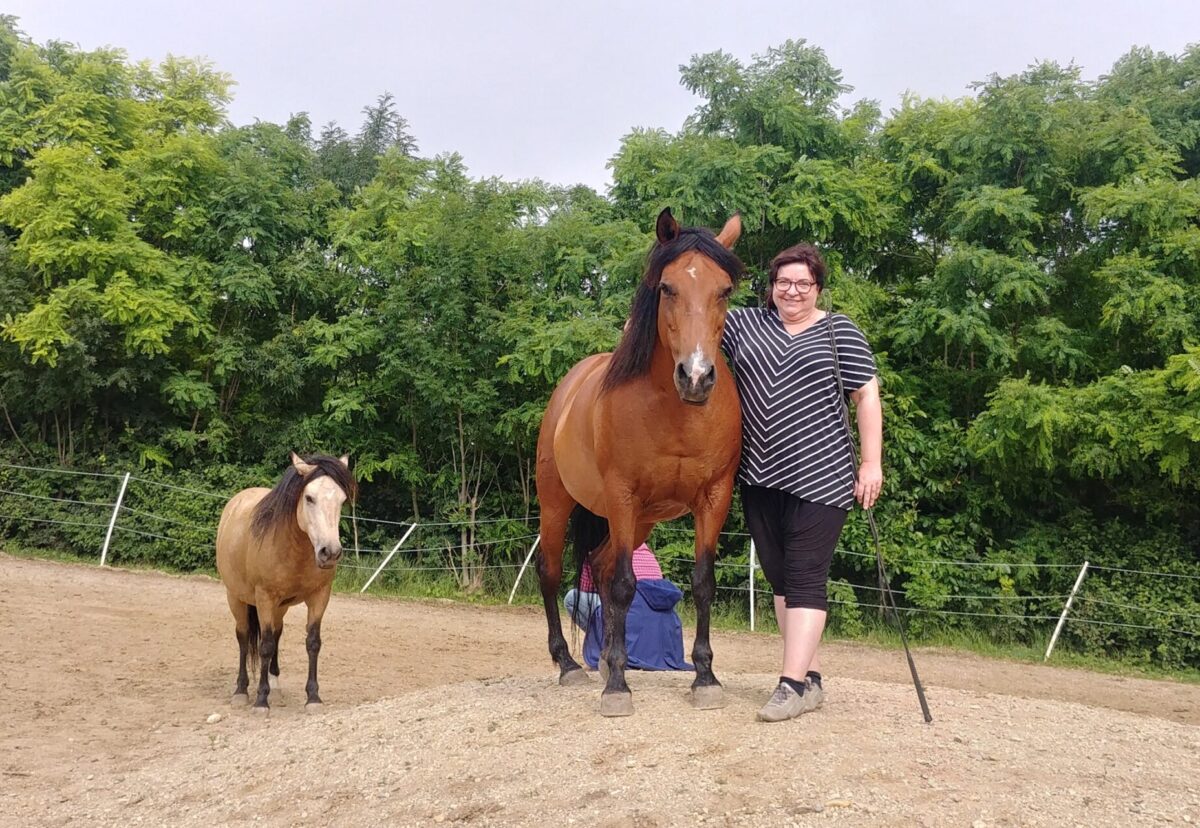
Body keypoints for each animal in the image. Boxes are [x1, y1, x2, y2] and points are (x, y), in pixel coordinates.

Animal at [216, 451, 355, 710]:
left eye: (341, 501)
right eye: (309, 498)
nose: (330, 552)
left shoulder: (320, 596)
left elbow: (312, 642)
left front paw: (313, 697)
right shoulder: (264, 598)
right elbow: (265, 645)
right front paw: (261, 700)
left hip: (280, 607)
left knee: (277, 633)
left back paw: (276, 687)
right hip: (236, 598)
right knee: (243, 637)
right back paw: (241, 691)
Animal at [535, 207, 739, 715]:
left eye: (725, 290)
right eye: (667, 288)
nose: (697, 376)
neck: (676, 411)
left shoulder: (714, 498)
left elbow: (702, 582)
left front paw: (705, 677)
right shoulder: (622, 495)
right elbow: (627, 585)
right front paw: (617, 690)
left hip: (643, 518)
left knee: (604, 568)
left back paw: (609, 659)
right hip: (557, 502)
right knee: (552, 572)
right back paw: (570, 665)